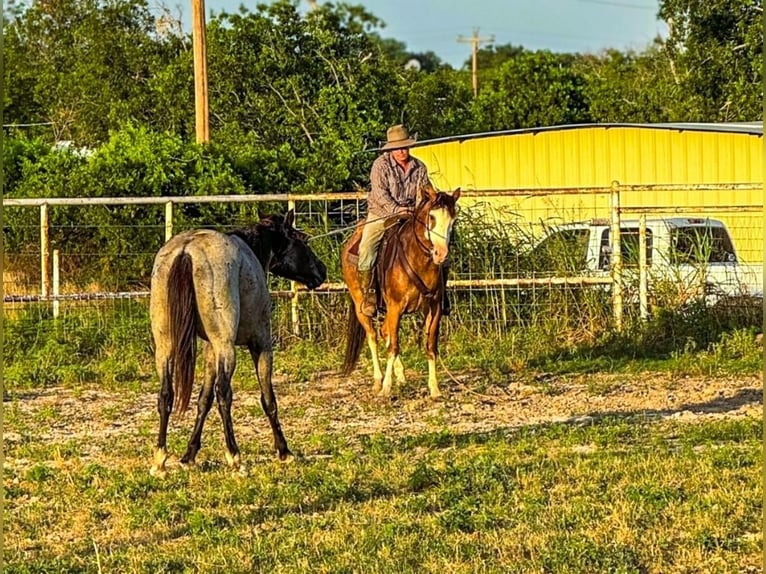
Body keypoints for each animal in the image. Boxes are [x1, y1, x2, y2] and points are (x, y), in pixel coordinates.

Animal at [150, 209, 328, 480]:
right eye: (303, 239)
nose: (322, 270)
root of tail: (186, 250)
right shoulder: (260, 343)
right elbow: (268, 399)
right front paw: (284, 451)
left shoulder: (210, 350)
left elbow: (203, 401)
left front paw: (189, 455)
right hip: (227, 348)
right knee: (224, 394)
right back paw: (235, 457)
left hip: (166, 347)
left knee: (166, 395)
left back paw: (160, 459)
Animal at [342, 186, 462, 400]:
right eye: (431, 217)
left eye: (453, 219)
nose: (441, 254)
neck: (417, 259)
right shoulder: (395, 307)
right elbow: (393, 346)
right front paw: (386, 388)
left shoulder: (434, 308)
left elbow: (430, 346)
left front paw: (435, 388)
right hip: (361, 307)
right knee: (373, 336)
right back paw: (378, 380)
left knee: (384, 332)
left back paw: (401, 375)